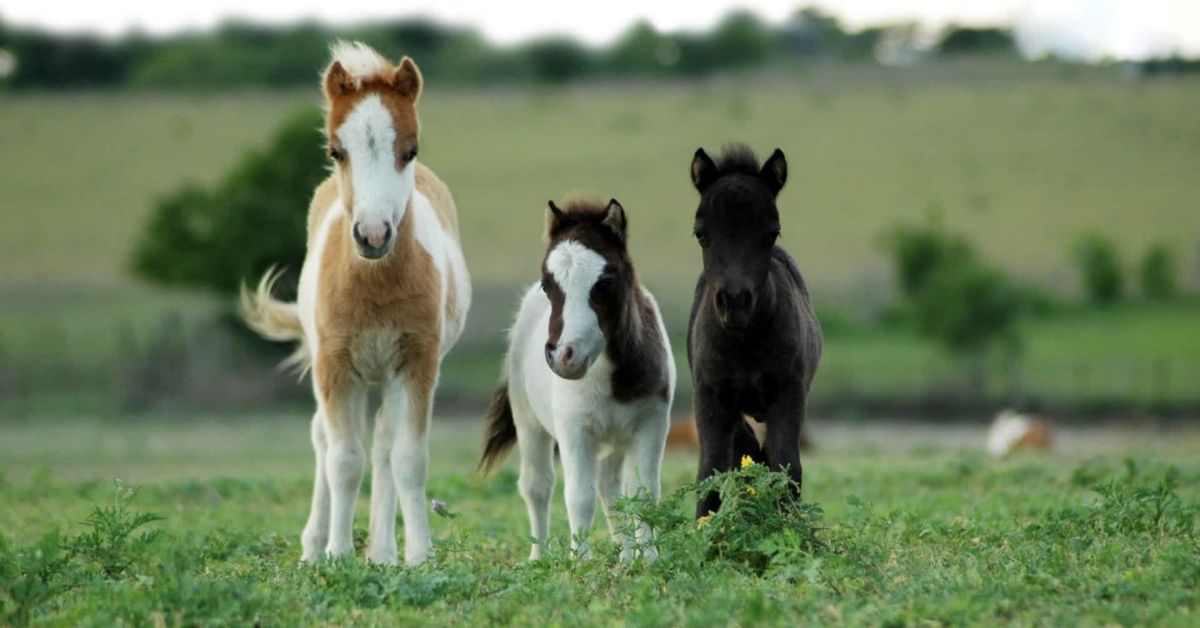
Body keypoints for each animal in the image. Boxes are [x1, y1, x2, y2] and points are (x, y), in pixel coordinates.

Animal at [241, 41, 470, 566]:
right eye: (336, 150)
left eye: (410, 150)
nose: (373, 235)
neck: (375, 287)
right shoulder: (334, 363)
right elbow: (343, 459)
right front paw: (336, 556)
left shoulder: (417, 362)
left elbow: (408, 457)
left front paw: (418, 557)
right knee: (324, 437)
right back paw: (313, 547)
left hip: (385, 374)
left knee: (383, 442)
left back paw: (383, 552)